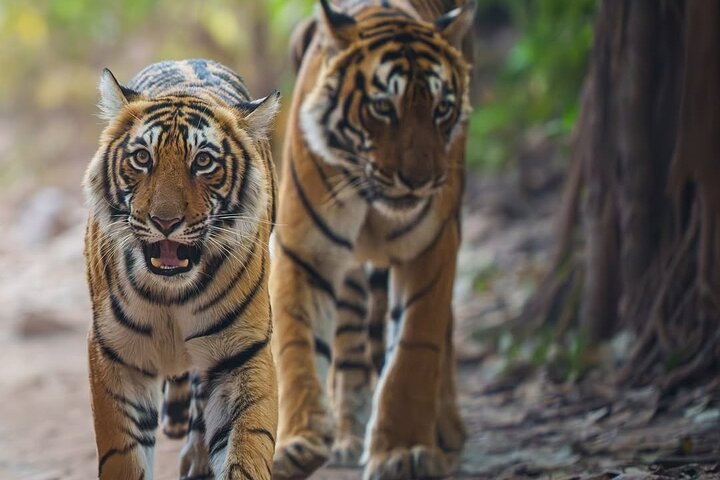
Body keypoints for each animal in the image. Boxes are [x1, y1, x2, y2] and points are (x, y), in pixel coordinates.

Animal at [83, 59, 280, 479]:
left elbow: (245, 445)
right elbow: (124, 454)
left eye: (203, 162)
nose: (165, 221)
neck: (171, 295)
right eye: (142, 158)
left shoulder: (242, 353)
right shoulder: (115, 354)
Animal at [269, 1, 474, 479]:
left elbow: (415, 350)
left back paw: (446, 428)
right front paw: (298, 442)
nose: (420, 180)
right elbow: (296, 347)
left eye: (442, 109)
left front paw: (403, 450)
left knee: (444, 334)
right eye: (383, 108)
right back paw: (346, 435)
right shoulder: (303, 251)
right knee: (349, 343)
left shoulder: (431, 248)